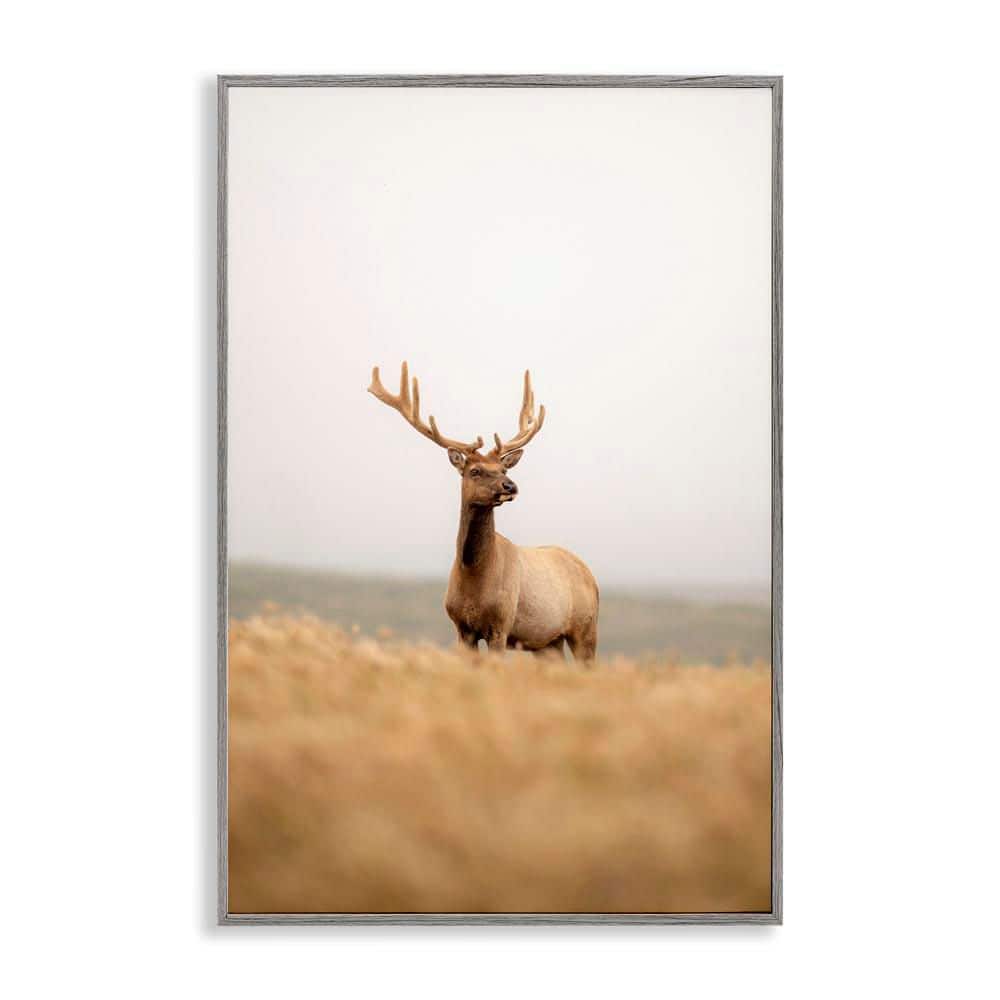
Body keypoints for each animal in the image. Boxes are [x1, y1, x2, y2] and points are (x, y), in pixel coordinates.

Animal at [368, 362, 599, 660]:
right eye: (475, 471)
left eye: (504, 469)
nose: (511, 486)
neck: (474, 578)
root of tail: (591, 576)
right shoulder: (461, 627)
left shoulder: (501, 623)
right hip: (547, 642)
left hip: (585, 628)